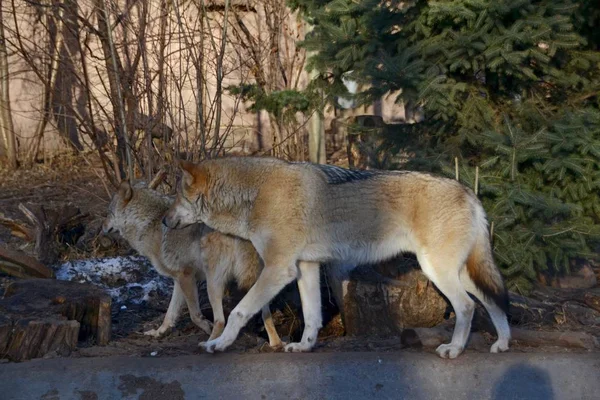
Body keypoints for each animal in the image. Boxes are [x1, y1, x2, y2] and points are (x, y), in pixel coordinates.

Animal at [103, 180, 284, 348]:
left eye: (109, 213)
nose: (101, 228)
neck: (149, 223)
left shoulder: (186, 277)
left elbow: (194, 315)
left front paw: (205, 326)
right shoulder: (178, 280)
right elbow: (169, 314)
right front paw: (158, 333)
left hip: (213, 284)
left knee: (220, 320)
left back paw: (208, 344)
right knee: (265, 315)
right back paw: (275, 344)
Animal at [164, 157, 510, 360]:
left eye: (176, 197)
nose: (166, 222)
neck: (256, 194)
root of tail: (469, 193)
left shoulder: (278, 269)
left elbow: (238, 311)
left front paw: (218, 344)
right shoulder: (305, 268)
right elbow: (312, 315)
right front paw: (304, 346)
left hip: (438, 270)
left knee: (467, 307)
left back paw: (454, 349)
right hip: (458, 272)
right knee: (493, 302)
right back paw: (502, 344)